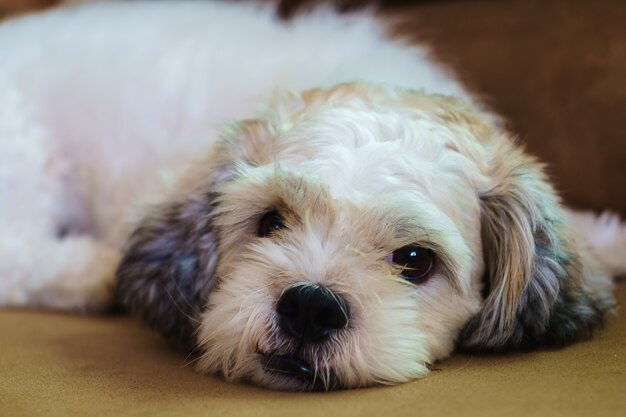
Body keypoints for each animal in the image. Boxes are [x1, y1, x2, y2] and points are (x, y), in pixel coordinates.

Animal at [0, 0, 620, 390]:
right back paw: (88, 270)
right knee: (16, 258)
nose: (310, 305)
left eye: (414, 261)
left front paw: (605, 236)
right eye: (270, 222)